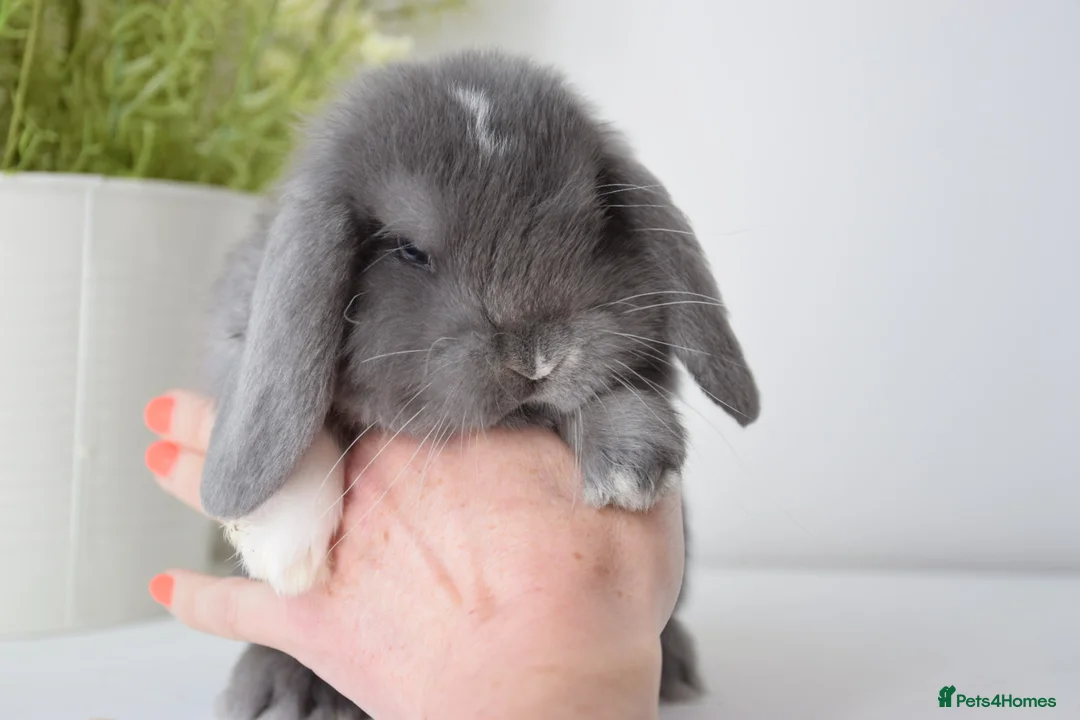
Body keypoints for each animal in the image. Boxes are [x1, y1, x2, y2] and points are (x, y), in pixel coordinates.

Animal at [201, 49, 759, 719]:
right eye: (408, 249)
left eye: (595, 222)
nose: (537, 357)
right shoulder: (238, 348)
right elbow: (302, 425)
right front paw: (281, 551)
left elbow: (616, 390)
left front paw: (631, 464)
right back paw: (287, 691)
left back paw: (673, 668)